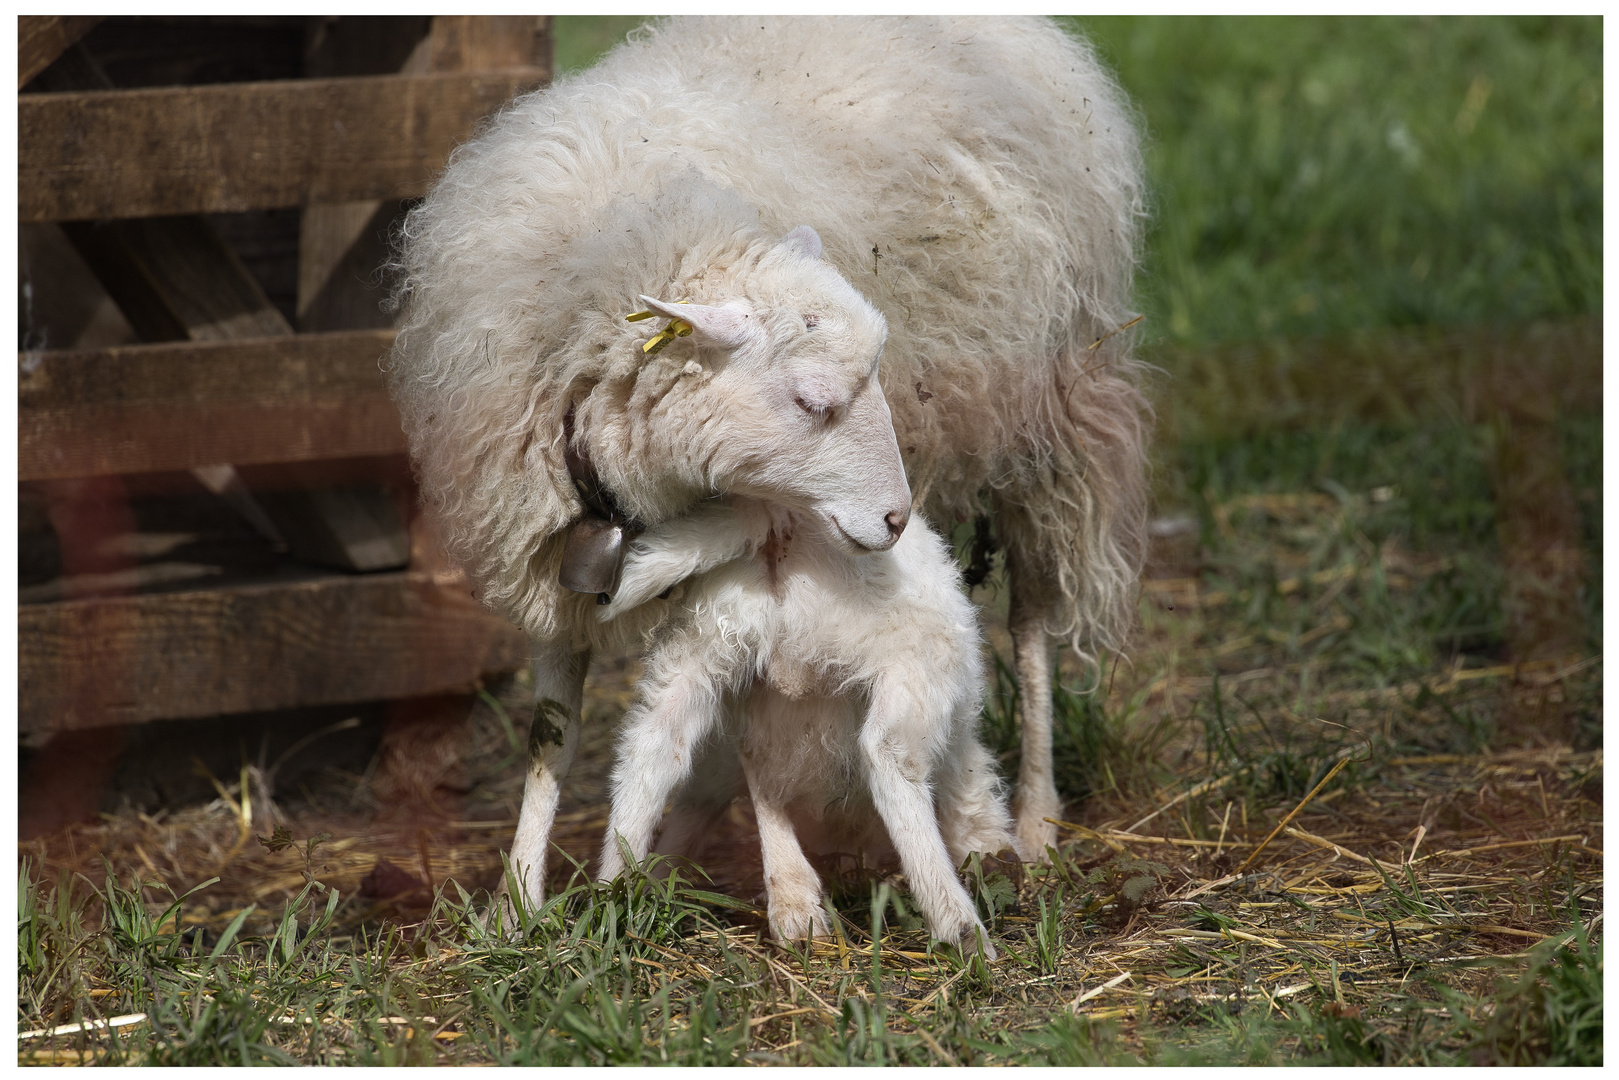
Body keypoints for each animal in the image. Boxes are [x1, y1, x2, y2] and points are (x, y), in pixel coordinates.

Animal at [388, 16, 1152, 913]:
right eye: (813, 402)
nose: (897, 519)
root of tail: (1018, 25)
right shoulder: (548, 545)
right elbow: (553, 733)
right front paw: (516, 903)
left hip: (1046, 418)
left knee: (1031, 618)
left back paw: (1033, 817)